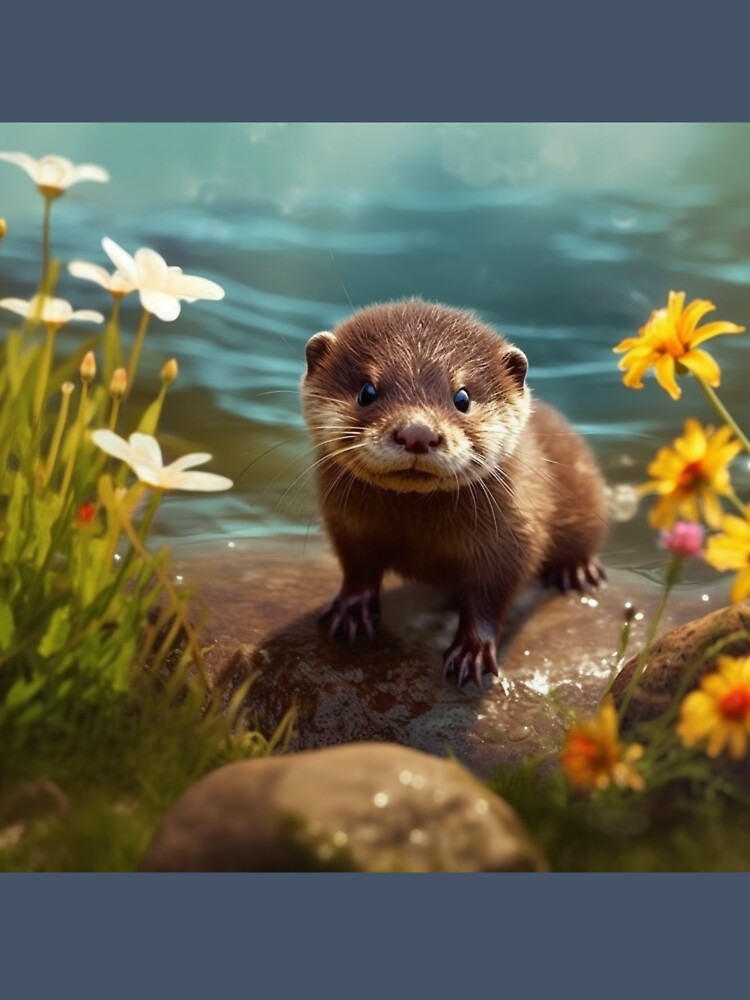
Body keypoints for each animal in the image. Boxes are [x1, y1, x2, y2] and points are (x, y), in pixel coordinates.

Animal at [301, 299, 607, 689]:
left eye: (462, 396)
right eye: (367, 391)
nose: (417, 433)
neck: (422, 538)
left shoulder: (513, 538)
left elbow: (492, 596)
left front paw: (470, 652)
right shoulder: (348, 525)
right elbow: (357, 568)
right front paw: (352, 612)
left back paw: (577, 572)